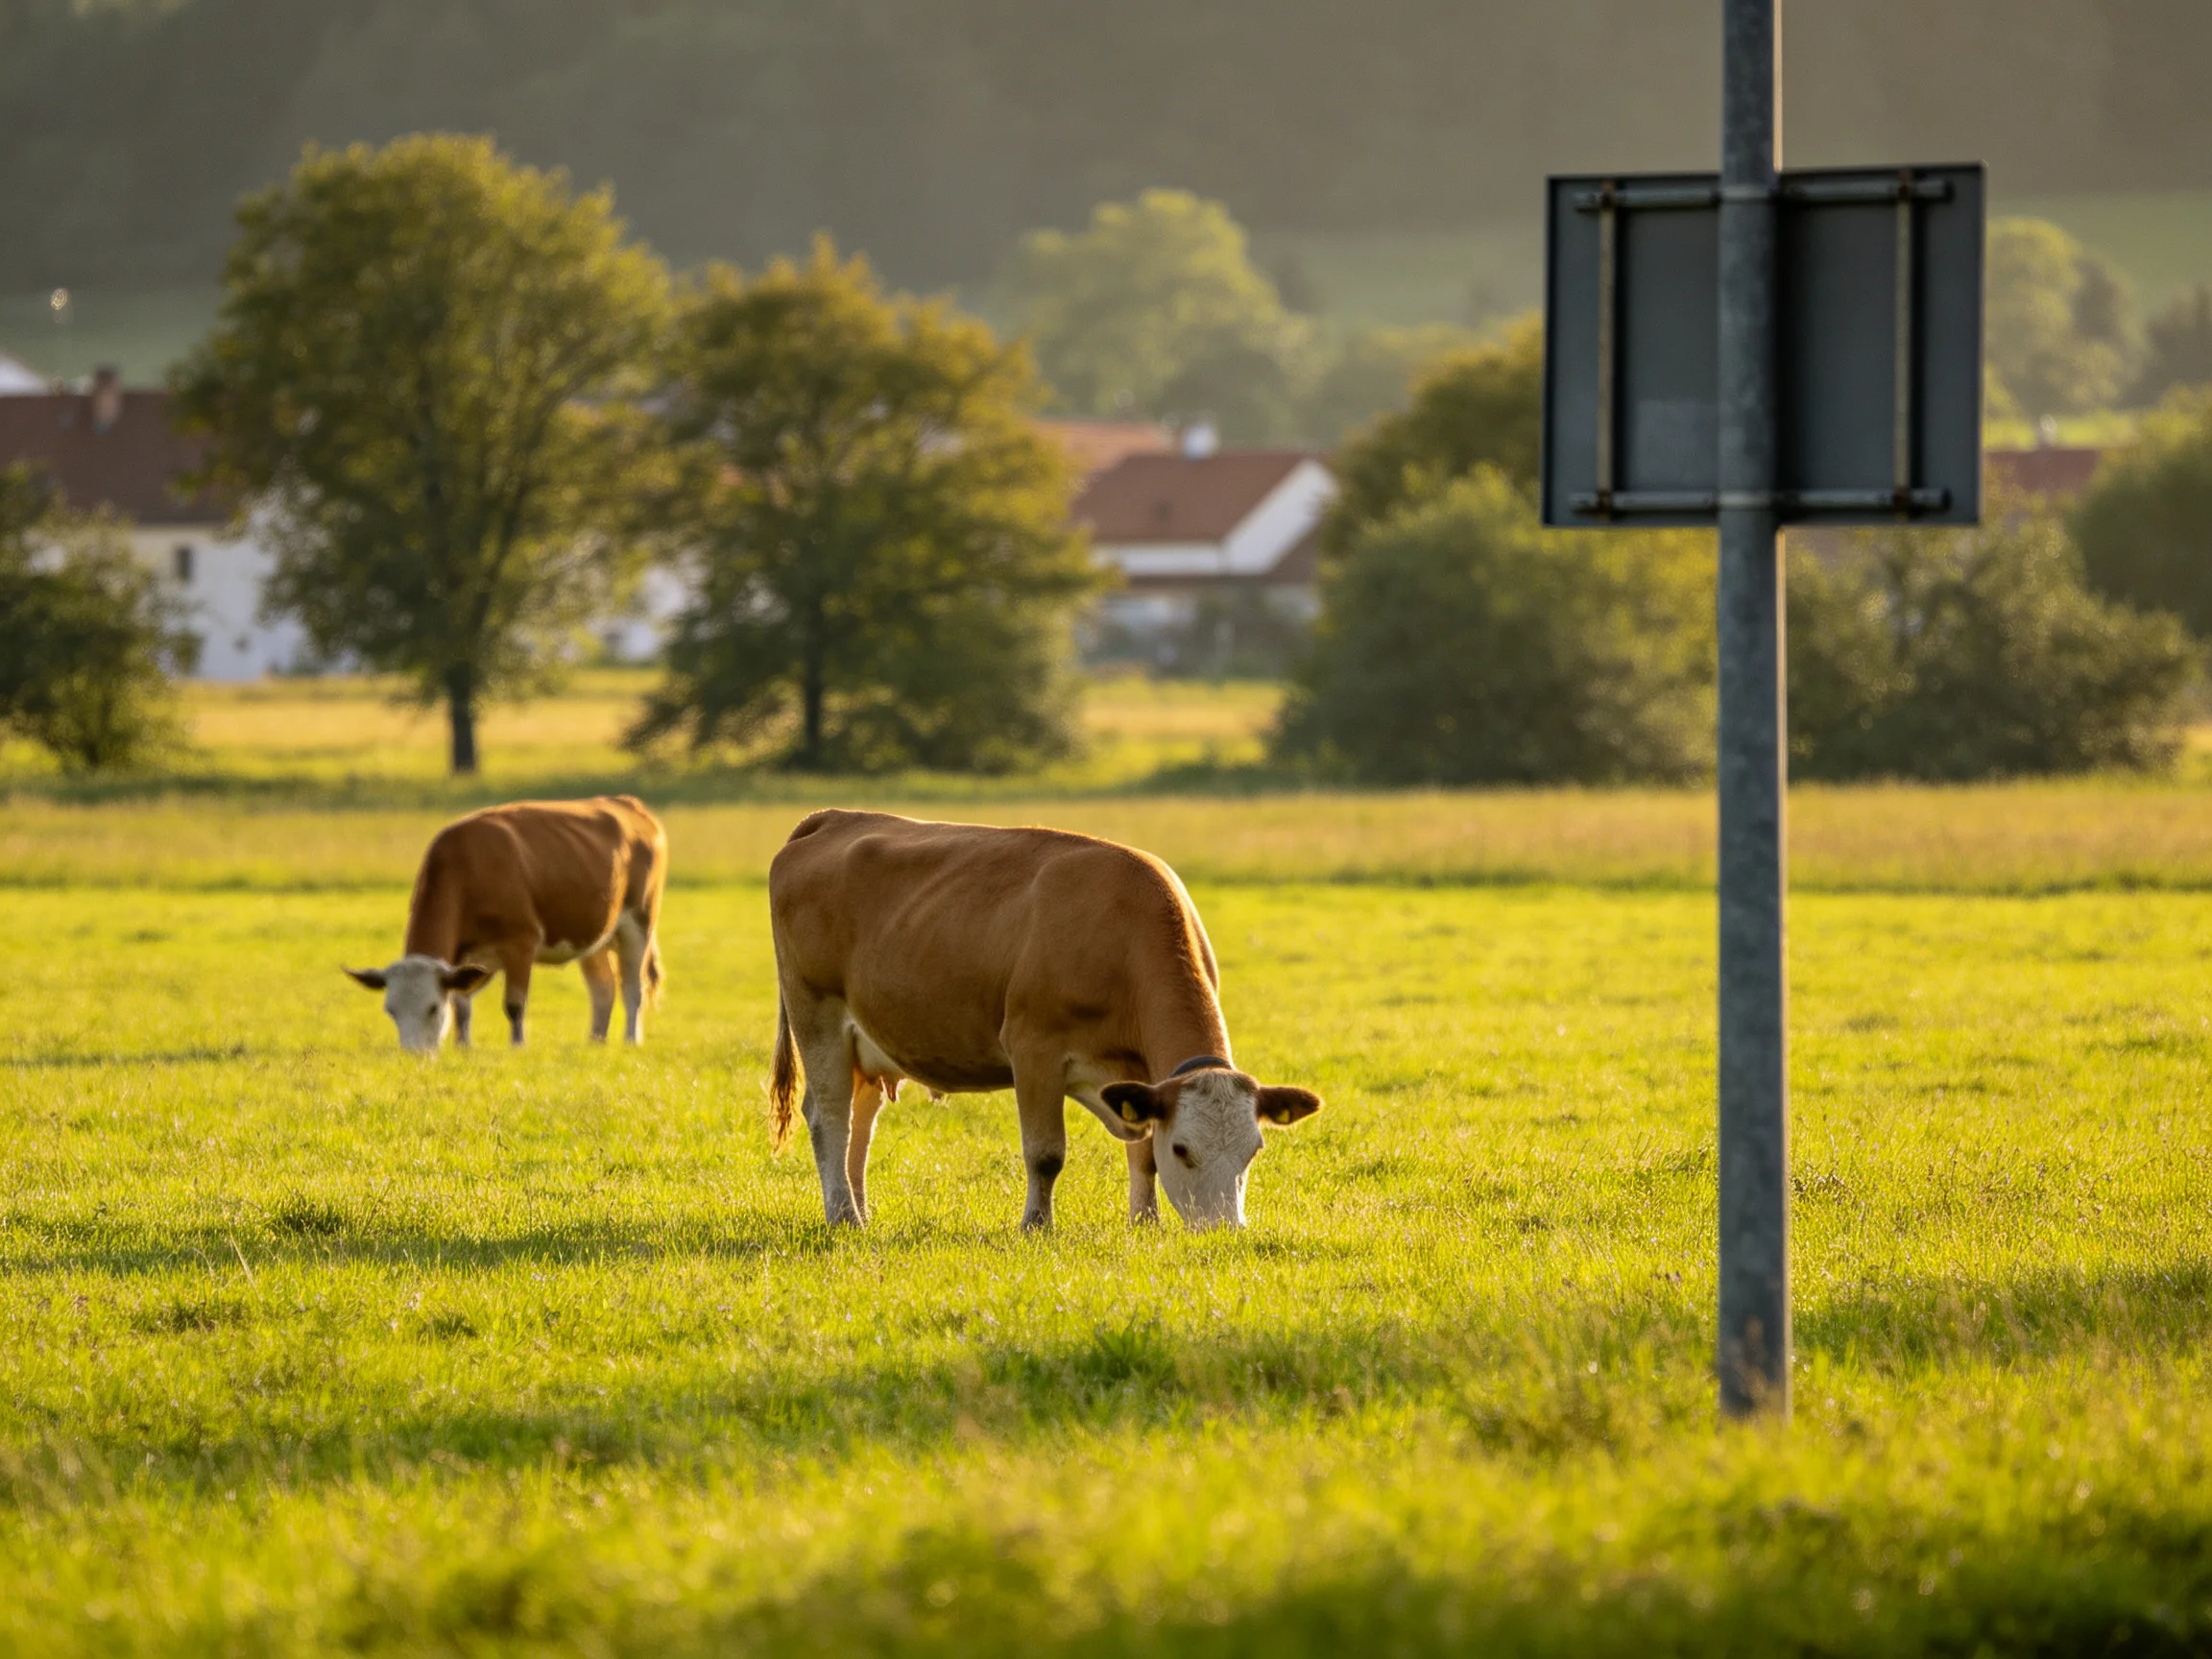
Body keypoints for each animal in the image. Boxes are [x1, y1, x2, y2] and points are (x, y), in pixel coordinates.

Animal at [345, 796, 667, 1053]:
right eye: (391, 1010)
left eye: (433, 1007)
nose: (414, 1054)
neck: (468, 870)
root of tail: (627, 804)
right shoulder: (466, 958)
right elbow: (461, 1005)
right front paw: (463, 1046)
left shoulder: (521, 943)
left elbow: (514, 1004)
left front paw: (517, 1046)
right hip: (592, 935)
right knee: (603, 987)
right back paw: (595, 1041)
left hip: (639, 923)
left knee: (632, 988)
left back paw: (630, 1040)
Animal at [766, 808, 1321, 1230]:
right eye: (1184, 1150)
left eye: (1253, 1151)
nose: (1223, 1229)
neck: (1121, 938)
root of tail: (836, 818)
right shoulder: (1033, 1049)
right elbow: (1046, 1153)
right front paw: (1036, 1225)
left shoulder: (1139, 1080)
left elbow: (1143, 1151)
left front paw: (1145, 1224)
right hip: (816, 1014)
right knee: (830, 1117)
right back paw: (843, 1217)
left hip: (865, 1042)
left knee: (859, 1124)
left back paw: (857, 1212)